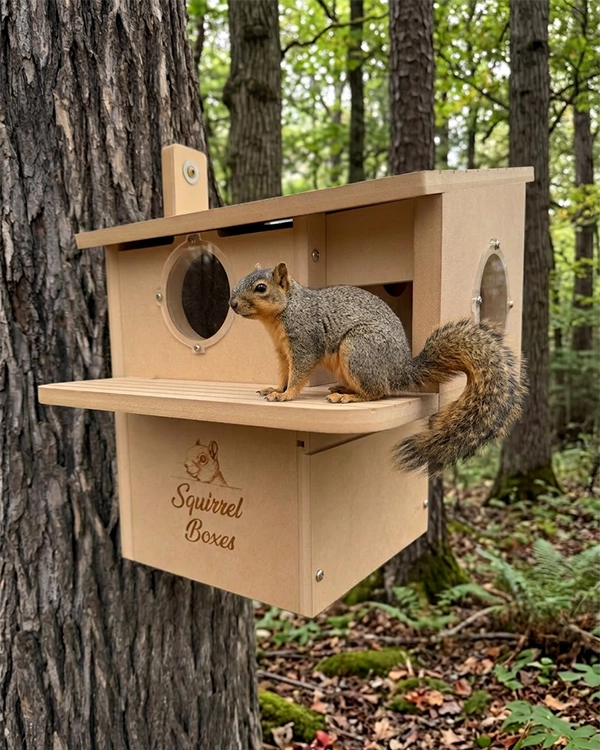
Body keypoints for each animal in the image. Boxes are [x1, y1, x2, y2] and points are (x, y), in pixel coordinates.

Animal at [229, 262, 526, 474]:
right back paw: (343, 388)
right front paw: (274, 388)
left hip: (359, 348)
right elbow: (284, 373)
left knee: (378, 392)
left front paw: (286, 396)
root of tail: (401, 371)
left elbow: (299, 374)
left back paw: (348, 397)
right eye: (239, 282)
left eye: (260, 288)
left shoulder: (304, 342)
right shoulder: (282, 352)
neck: (284, 312)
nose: (232, 304)